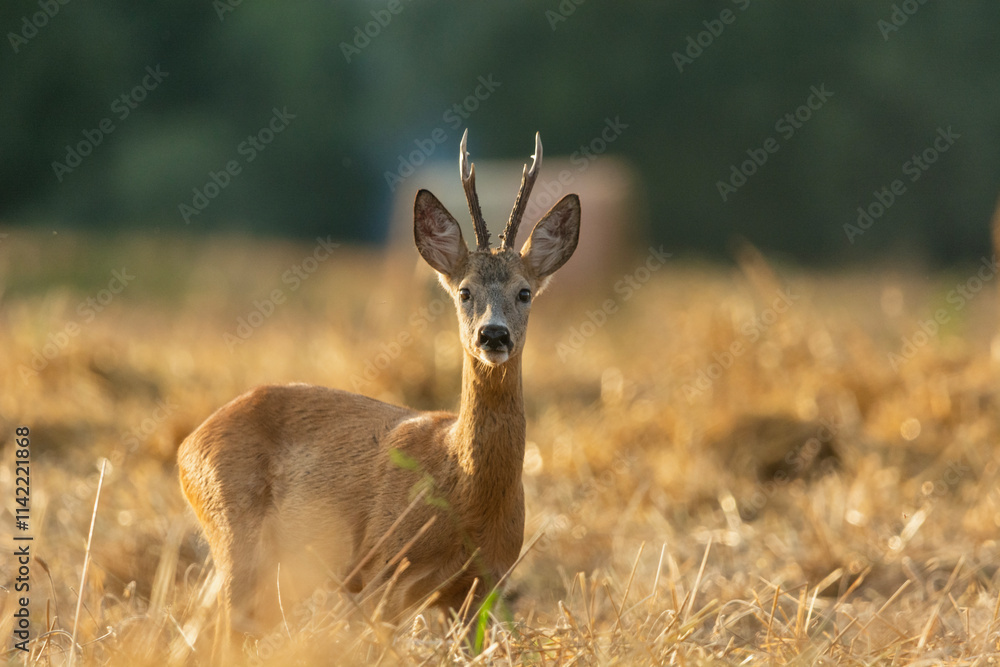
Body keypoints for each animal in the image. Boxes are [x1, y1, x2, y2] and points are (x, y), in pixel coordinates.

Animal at [177, 130, 581, 636]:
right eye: (464, 291)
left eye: (524, 292)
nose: (493, 334)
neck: (465, 492)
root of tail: (187, 446)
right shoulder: (382, 571)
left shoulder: (481, 588)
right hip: (234, 532)